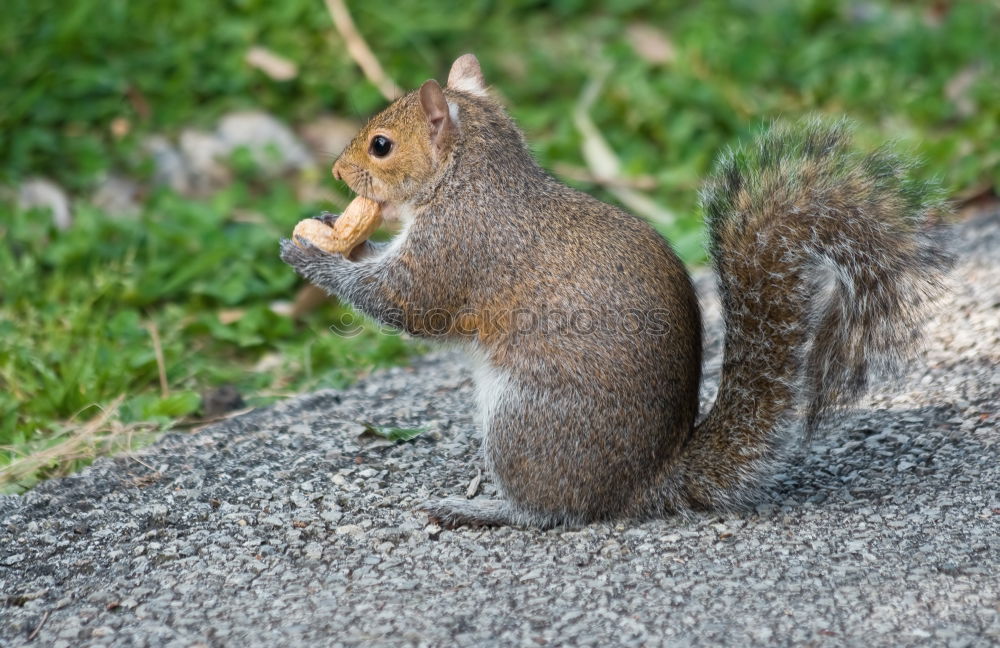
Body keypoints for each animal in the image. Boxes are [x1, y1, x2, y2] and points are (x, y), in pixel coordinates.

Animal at [278, 52, 948, 528]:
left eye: (381, 145)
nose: (336, 172)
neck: (470, 179)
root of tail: (644, 486)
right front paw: (333, 231)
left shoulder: (460, 248)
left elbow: (406, 304)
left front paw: (311, 256)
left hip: (526, 419)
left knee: (554, 510)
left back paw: (482, 509)